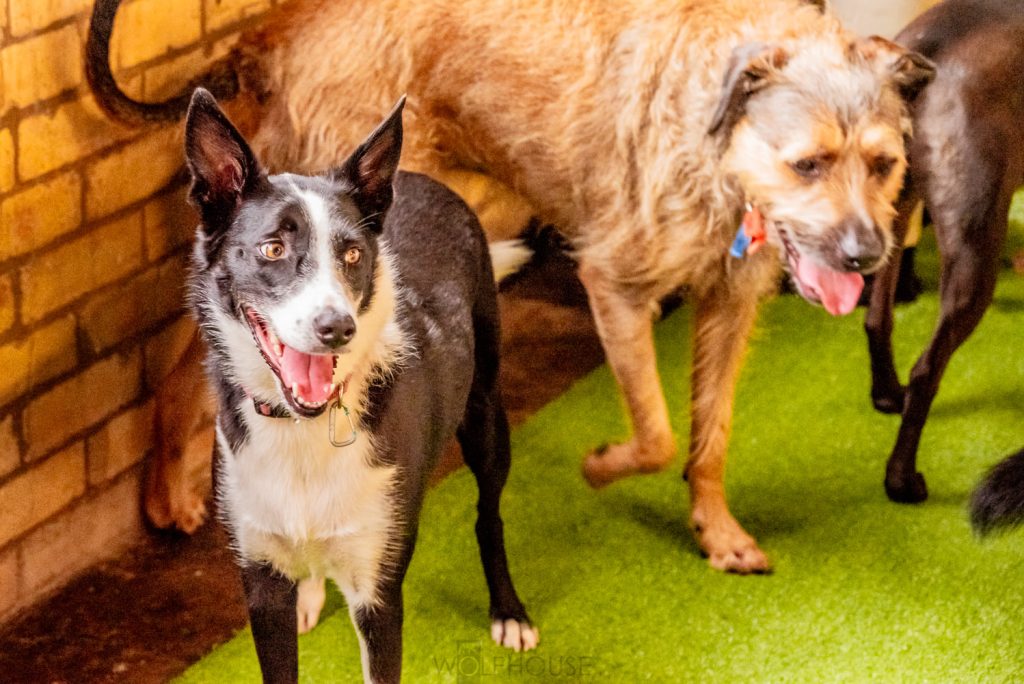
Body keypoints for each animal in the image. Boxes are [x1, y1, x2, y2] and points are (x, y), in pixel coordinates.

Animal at [90, 0, 937, 573]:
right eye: (808, 164)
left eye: (884, 163)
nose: (867, 256)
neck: (716, 123)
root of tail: (281, 29)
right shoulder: (615, 285)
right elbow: (657, 435)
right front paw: (602, 464)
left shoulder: (729, 305)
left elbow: (710, 436)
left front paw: (716, 530)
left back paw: (172, 484)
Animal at [185, 90, 540, 684]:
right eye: (272, 250)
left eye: (352, 255)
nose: (337, 328)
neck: (302, 429)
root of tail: (418, 177)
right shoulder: (260, 583)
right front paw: (305, 593)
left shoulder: (377, 593)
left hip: (486, 415)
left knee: (489, 515)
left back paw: (508, 611)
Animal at [864, 0, 1024, 501]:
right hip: (975, 255)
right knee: (926, 370)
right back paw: (902, 481)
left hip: (895, 216)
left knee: (877, 317)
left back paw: (886, 395)